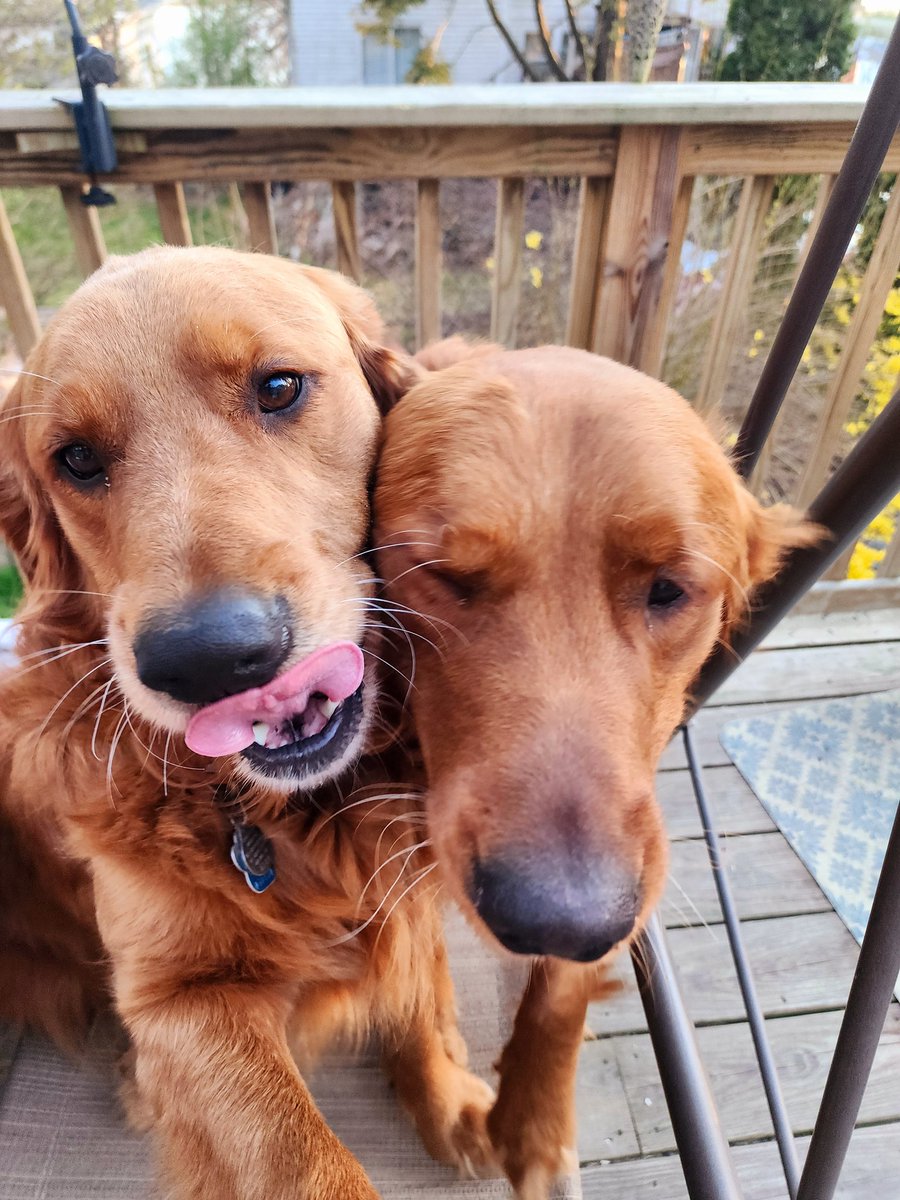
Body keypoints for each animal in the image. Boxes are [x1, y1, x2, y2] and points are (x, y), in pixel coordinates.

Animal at [0, 248, 501, 1195]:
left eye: (278, 387)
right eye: (76, 459)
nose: (207, 659)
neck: (293, 814)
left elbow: (420, 976)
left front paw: (446, 1092)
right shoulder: (181, 1001)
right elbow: (301, 1159)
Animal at [372, 340, 816, 1200]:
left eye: (669, 589)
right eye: (443, 575)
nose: (558, 917)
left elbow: (565, 991)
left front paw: (533, 1126)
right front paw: (436, 1093)